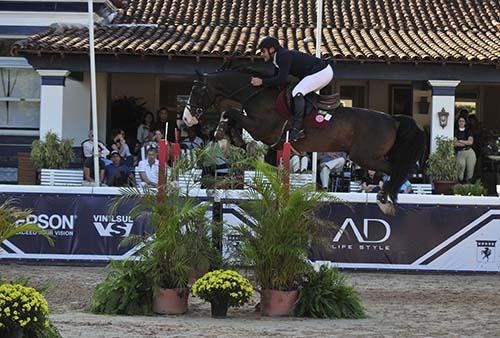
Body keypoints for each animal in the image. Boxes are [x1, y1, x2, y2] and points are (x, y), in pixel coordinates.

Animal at [182, 66, 424, 215]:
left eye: (196, 91)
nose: (186, 119)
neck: (256, 92)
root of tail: (393, 119)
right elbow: (232, 116)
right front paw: (231, 139)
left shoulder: (262, 129)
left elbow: (231, 112)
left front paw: (228, 138)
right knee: (396, 171)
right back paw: (387, 198)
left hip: (364, 156)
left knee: (395, 170)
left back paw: (384, 200)